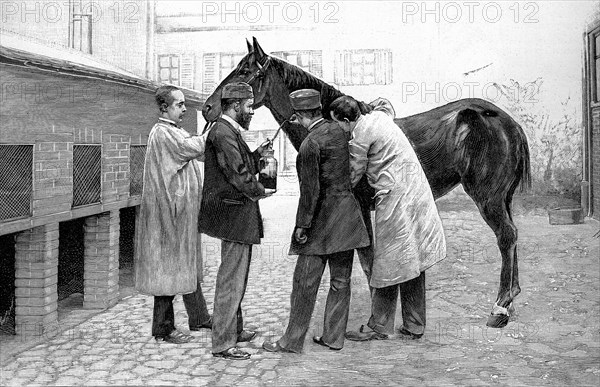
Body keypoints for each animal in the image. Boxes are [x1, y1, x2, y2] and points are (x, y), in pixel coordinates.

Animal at [204, 36, 532, 328]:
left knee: (506, 237)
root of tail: (506, 121)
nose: (208, 107)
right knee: (512, 236)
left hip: (488, 198)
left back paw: (500, 308)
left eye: (244, 71)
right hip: (503, 198)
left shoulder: (360, 208)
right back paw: (511, 298)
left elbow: (368, 258)